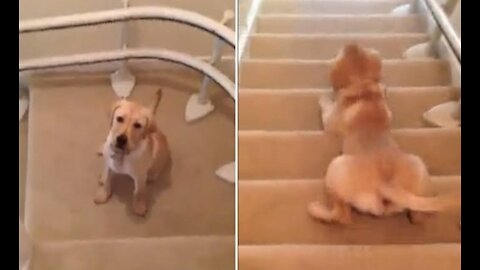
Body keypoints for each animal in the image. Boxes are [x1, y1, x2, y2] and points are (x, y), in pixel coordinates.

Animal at [306, 44, 460, 225]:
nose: (351, 45)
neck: (363, 86)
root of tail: (387, 185)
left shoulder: (330, 120)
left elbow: (326, 106)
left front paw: (323, 97)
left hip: (336, 167)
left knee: (342, 215)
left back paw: (317, 209)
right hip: (418, 164)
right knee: (418, 214)